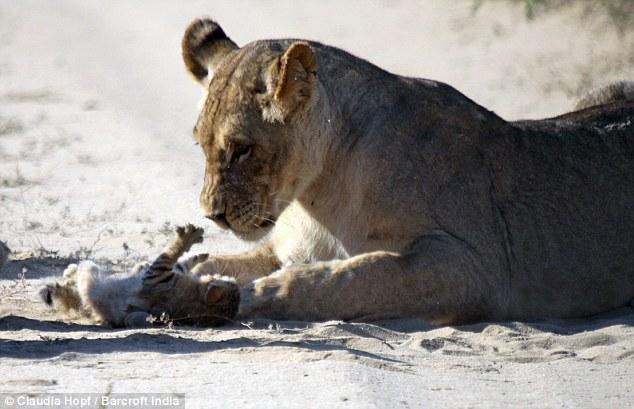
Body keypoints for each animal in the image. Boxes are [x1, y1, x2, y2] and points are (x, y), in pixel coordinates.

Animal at [40, 223, 237, 326]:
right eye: (231, 282)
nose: (232, 278)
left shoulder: (157, 274)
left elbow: (171, 252)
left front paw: (186, 238)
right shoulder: (168, 273)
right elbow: (182, 262)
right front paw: (200, 255)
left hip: (91, 271)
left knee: (80, 277)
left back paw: (70, 276)